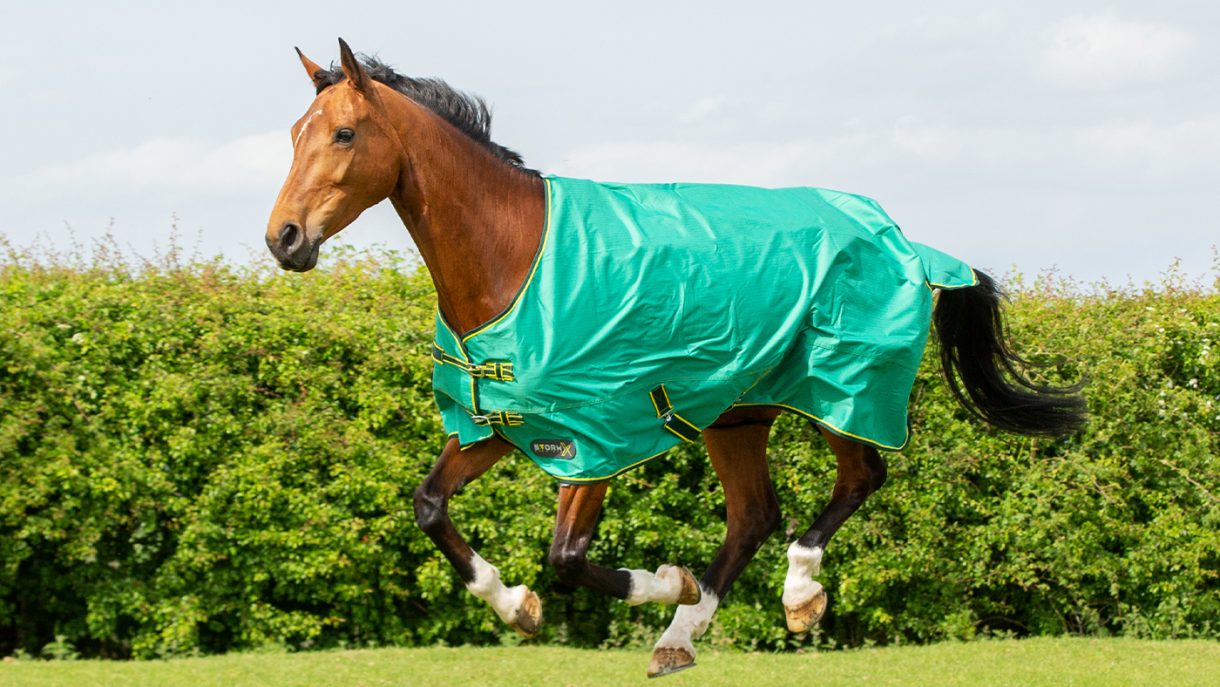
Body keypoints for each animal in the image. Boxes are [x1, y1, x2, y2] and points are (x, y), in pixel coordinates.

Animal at [266, 39, 1086, 677]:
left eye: (344, 134)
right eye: (294, 132)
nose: (284, 238)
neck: (517, 259)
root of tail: (906, 240)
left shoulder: (593, 438)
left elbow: (568, 556)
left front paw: (668, 581)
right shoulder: (497, 425)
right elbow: (431, 506)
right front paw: (518, 607)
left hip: (841, 394)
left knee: (859, 479)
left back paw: (795, 597)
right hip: (735, 415)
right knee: (754, 515)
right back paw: (680, 637)